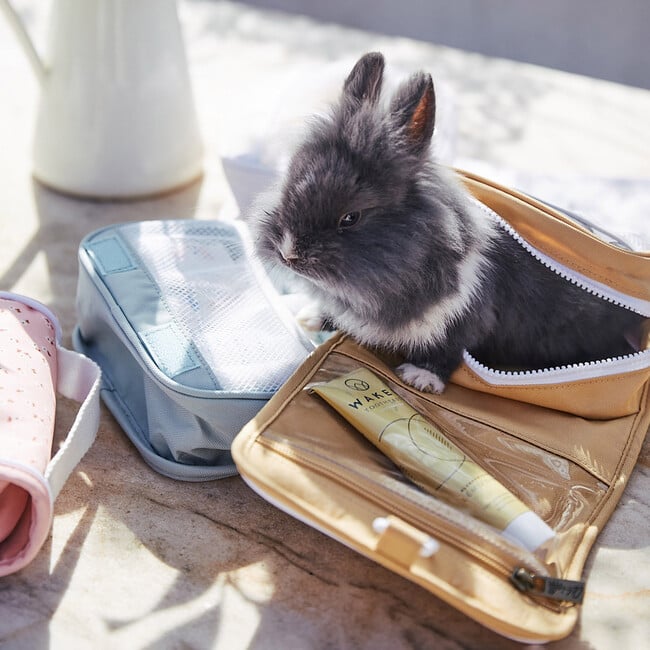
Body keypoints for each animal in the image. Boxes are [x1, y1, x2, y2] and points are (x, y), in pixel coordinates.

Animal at [249, 52, 644, 390]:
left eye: (351, 217)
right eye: (287, 182)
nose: (289, 254)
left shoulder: (463, 320)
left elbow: (447, 351)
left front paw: (419, 378)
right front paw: (311, 317)